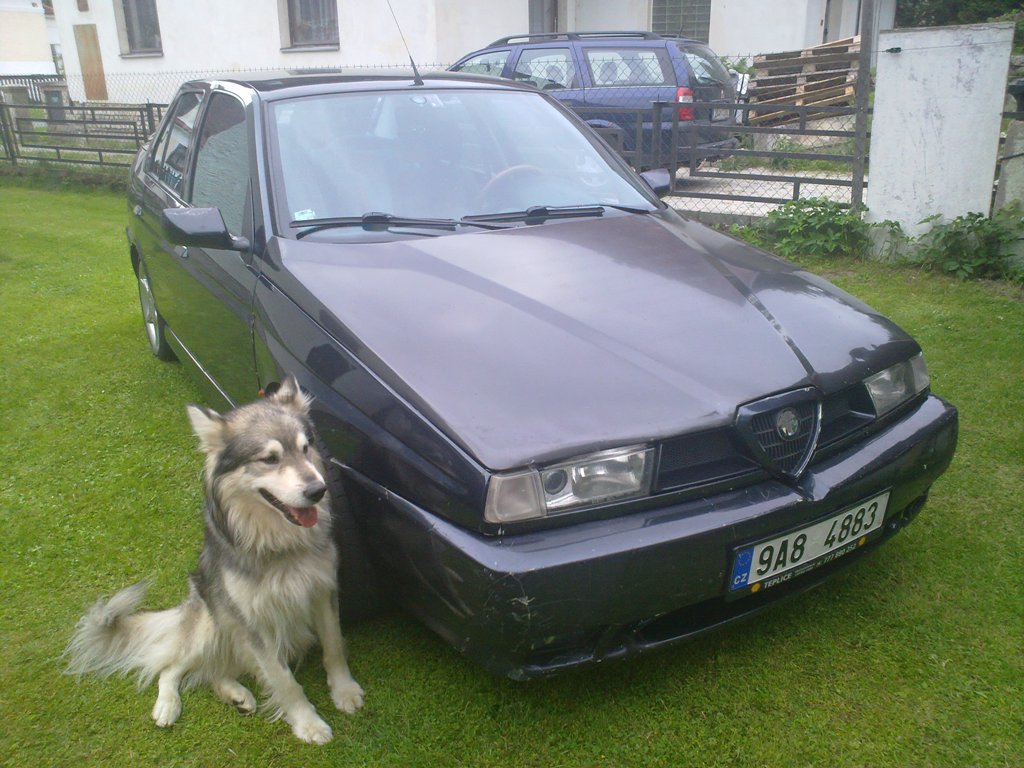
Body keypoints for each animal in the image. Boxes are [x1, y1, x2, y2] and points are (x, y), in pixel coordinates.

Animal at [65, 375, 363, 744]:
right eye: (269, 459)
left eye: (306, 447)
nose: (318, 490)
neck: (279, 544)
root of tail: (186, 607)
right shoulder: (252, 621)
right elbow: (283, 680)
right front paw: (307, 722)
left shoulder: (322, 591)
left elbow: (334, 646)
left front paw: (344, 691)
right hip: (211, 623)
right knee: (173, 667)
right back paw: (168, 706)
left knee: (215, 672)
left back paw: (237, 695)